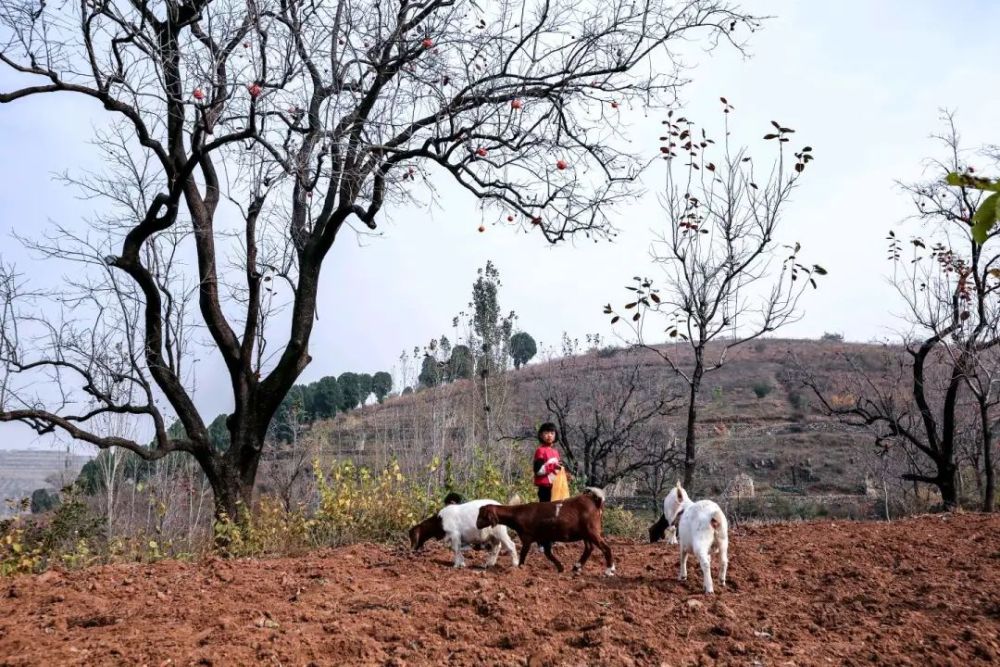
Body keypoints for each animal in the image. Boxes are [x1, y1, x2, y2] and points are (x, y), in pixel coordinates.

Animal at [476, 488, 616, 576]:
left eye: (482, 516)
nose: (477, 525)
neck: (517, 514)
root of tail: (595, 501)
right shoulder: (544, 538)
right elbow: (548, 554)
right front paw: (560, 568)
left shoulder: (527, 537)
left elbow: (524, 554)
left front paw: (520, 568)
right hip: (586, 533)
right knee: (589, 548)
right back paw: (576, 567)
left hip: (592, 530)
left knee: (605, 547)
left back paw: (609, 570)